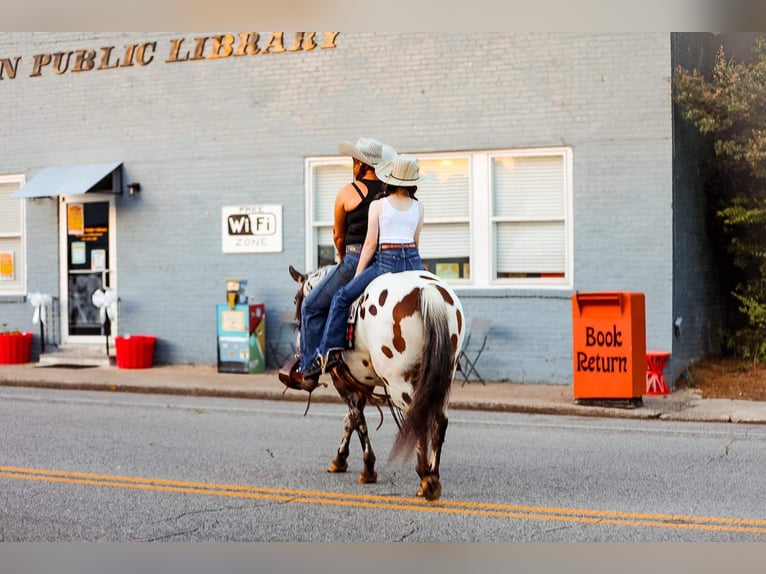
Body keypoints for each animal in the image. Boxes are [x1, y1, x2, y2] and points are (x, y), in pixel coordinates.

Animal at [284, 268, 464, 502]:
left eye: (297, 300)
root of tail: (428, 291)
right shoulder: (361, 381)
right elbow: (350, 420)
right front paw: (340, 459)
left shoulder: (344, 383)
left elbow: (357, 419)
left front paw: (367, 468)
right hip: (443, 380)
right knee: (438, 421)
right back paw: (432, 475)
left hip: (398, 382)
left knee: (418, 417)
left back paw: (426, 478)